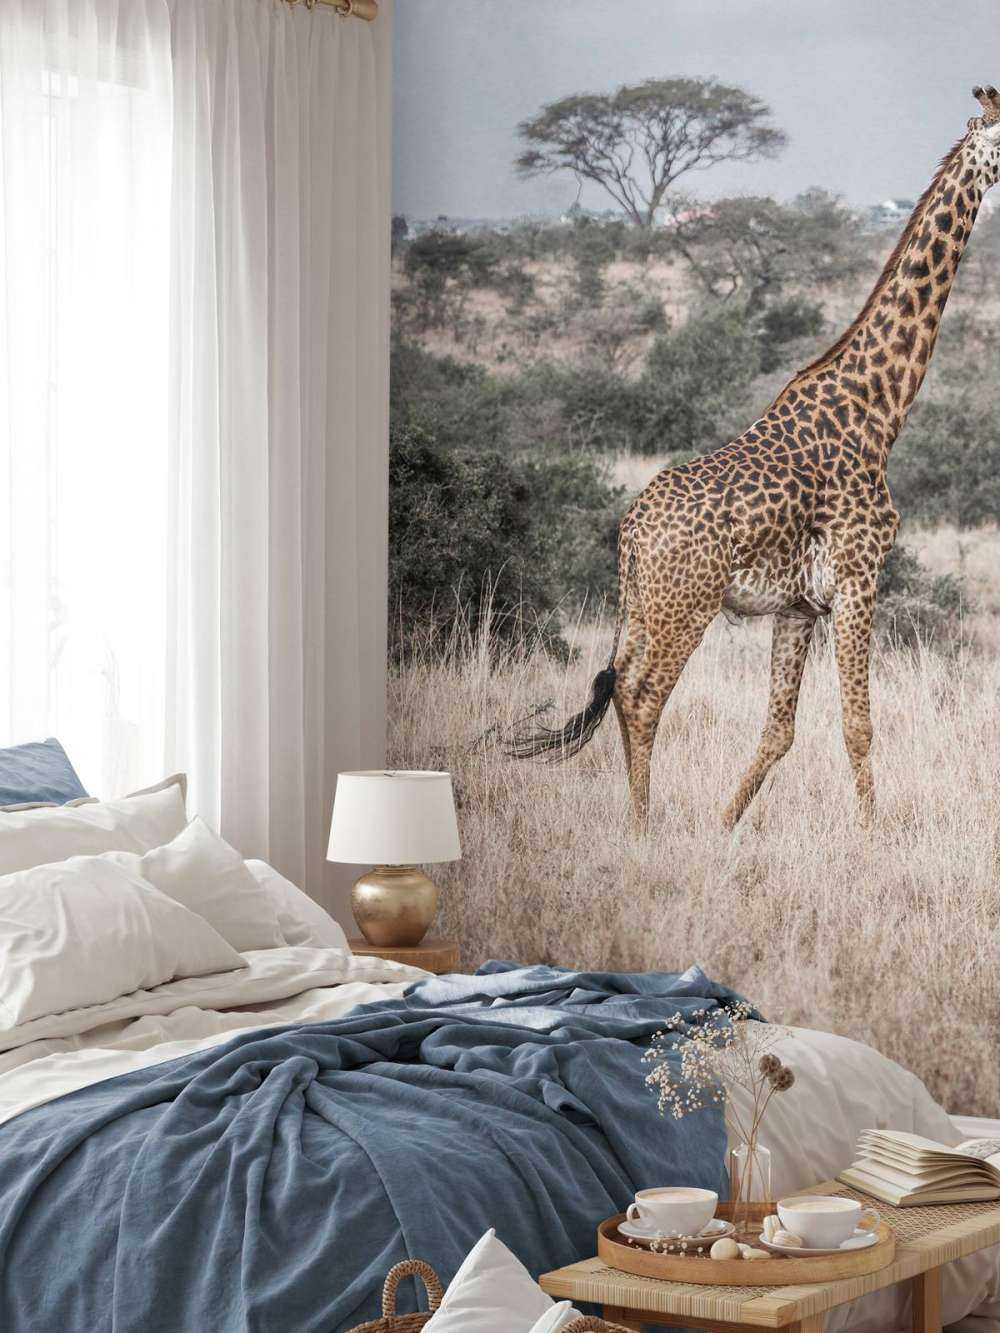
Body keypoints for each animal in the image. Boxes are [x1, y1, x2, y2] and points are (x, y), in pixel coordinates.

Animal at [510, 87, 1000, 831]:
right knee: (642, 694)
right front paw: (871, 836)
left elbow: (780, 729)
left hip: (642, 604)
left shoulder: (798, 606)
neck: (880, 410)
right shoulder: (859, 577)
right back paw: (641, 827)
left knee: (617, 683)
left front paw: (725, 825)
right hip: (687, 605)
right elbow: (859, 724)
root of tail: (631, 532)